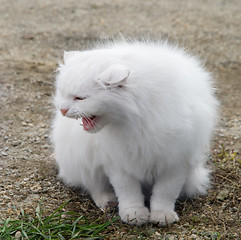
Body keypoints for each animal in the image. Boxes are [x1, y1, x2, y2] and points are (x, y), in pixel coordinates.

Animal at [51, 39, 218, 225]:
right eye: (63, 94)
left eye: (80, 98)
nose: (62, 110)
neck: (138, 117)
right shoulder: (119, 164)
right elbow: (128, 192)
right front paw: (134, 214)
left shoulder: (175, 162)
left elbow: (165, 193)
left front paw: (161, 215)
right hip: (83, 162)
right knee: (95, 187)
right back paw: (108, 202)